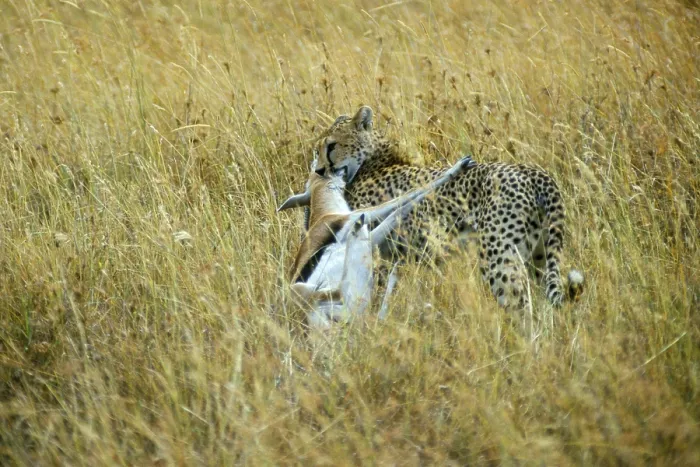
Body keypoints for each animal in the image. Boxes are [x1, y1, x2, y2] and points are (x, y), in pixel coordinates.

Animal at [309, 105, 584, 310]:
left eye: (331, 146)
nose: (319, 171)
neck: (372, 162)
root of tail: (533, 171)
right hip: (539, 255)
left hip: (499, 257)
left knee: (521, 306)